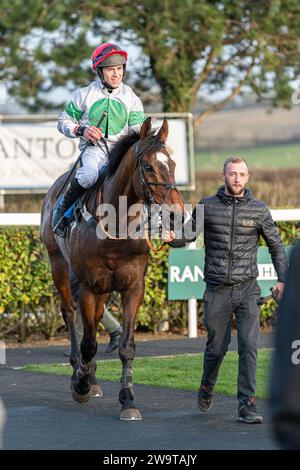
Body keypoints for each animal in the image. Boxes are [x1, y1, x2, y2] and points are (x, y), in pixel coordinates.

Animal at [39, 116, 185, 418]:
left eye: (173, 164)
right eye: (149, 166)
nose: (177, 215)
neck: (116, 226)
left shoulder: (133, 287)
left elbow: (126, 346)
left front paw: (128, 399)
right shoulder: (87, 285)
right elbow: (88, 343)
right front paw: (80, 385)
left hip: (103, 287)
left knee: (93, 321)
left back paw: (91, 376)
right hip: (59, 264)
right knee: (70, 314)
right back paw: (79, 370)